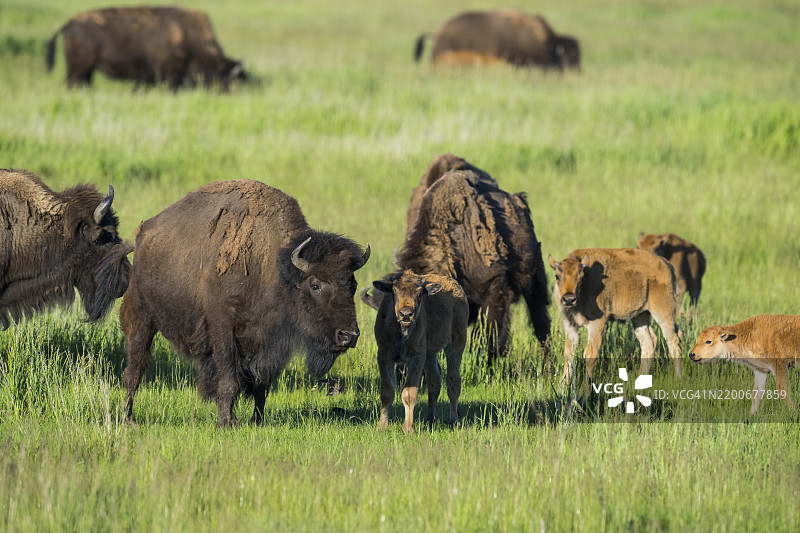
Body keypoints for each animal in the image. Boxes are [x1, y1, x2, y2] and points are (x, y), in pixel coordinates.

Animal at [46, 6, 247, 89]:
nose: (230, 93)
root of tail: (71, 22)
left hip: (87, 70)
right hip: (78, 68)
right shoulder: (168, 72)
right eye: (226, 79)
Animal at [120, 180, 370, 427]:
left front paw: (257, 421)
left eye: (353, 285)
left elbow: (261, 386)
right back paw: (128, 419)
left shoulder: (270, 344)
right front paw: (225, 423)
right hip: (141, 317)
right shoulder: (223, 328)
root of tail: (144, 233)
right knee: (135, 369)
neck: (272, 268)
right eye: (315, 285)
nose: (349, 336)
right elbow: (229, 380)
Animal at [362, 155, 551, 370]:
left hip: (536, 281)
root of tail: (519, 201)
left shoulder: (495, 292)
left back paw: (548, 368)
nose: (399, 363)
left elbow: (491, 336)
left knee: (541, 326)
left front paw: (487, 369)